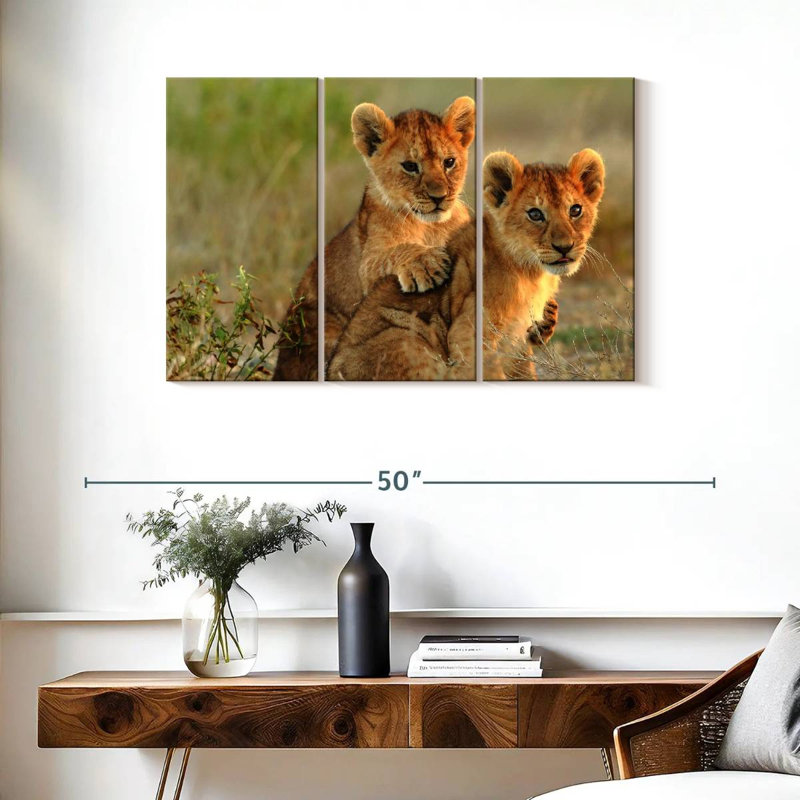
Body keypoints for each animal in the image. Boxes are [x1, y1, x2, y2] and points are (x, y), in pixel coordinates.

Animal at [272, 96, 475, 381]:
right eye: (410, 166)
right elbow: (392, 254)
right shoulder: (368, 266)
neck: (431, 227)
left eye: (449, 162)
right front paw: (426, 263)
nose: (439, 197)